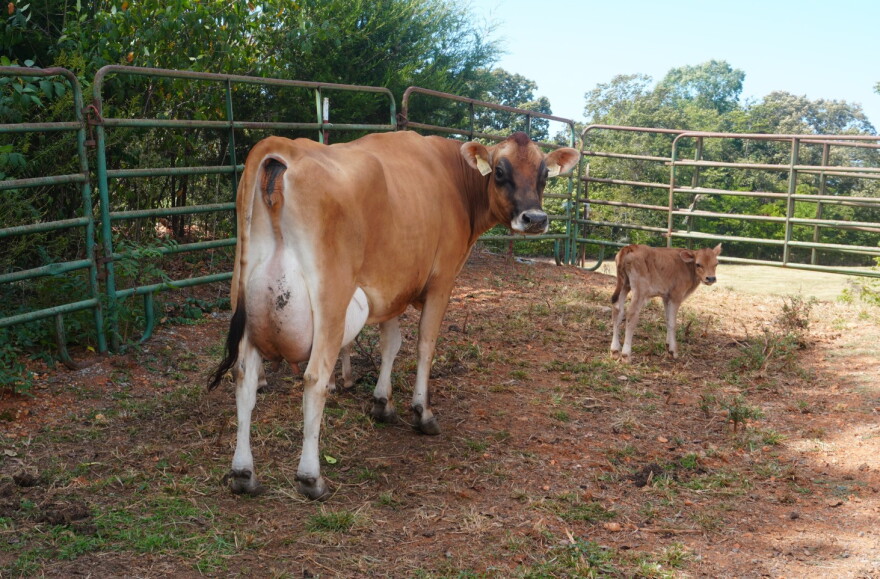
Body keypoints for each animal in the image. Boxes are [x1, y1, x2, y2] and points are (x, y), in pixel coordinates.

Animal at [208, 131, 580, 500]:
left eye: (544, 174)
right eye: (500, 171)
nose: (536, 219)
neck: (453, 176)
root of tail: (283, 145)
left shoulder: (390, 286)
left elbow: (391, 343)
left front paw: (382, 402)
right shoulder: (442, 281)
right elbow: (425, 345)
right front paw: (422, 412)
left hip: (245, 299)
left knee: (244, 378)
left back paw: (243, 473)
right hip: (330, 302)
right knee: (314, 380)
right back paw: (311, 478)